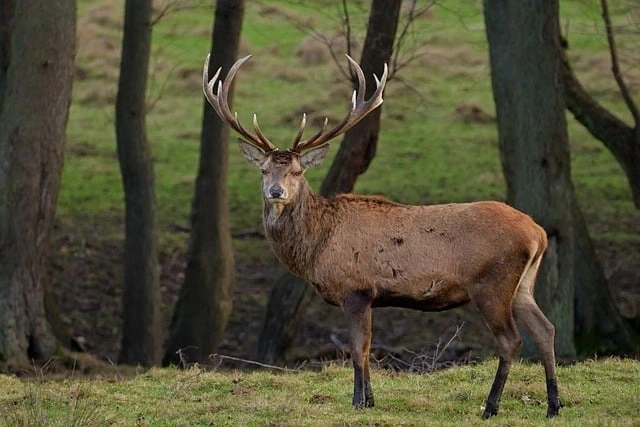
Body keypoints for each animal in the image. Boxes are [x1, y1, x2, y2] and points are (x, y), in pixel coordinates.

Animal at [202, 53, 561, 419]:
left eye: (297, 172)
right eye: (263, 170)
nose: (276, 192)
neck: (318, 246)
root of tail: (538, 233)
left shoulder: (356, 289)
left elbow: (358, 349)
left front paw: (358, 402)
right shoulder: (370, 296)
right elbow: (368, 346)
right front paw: (371, 400)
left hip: (491, 282)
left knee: (511, 339)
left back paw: (490, 406)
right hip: (523, 284)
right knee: (545, 329)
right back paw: (553, 405)